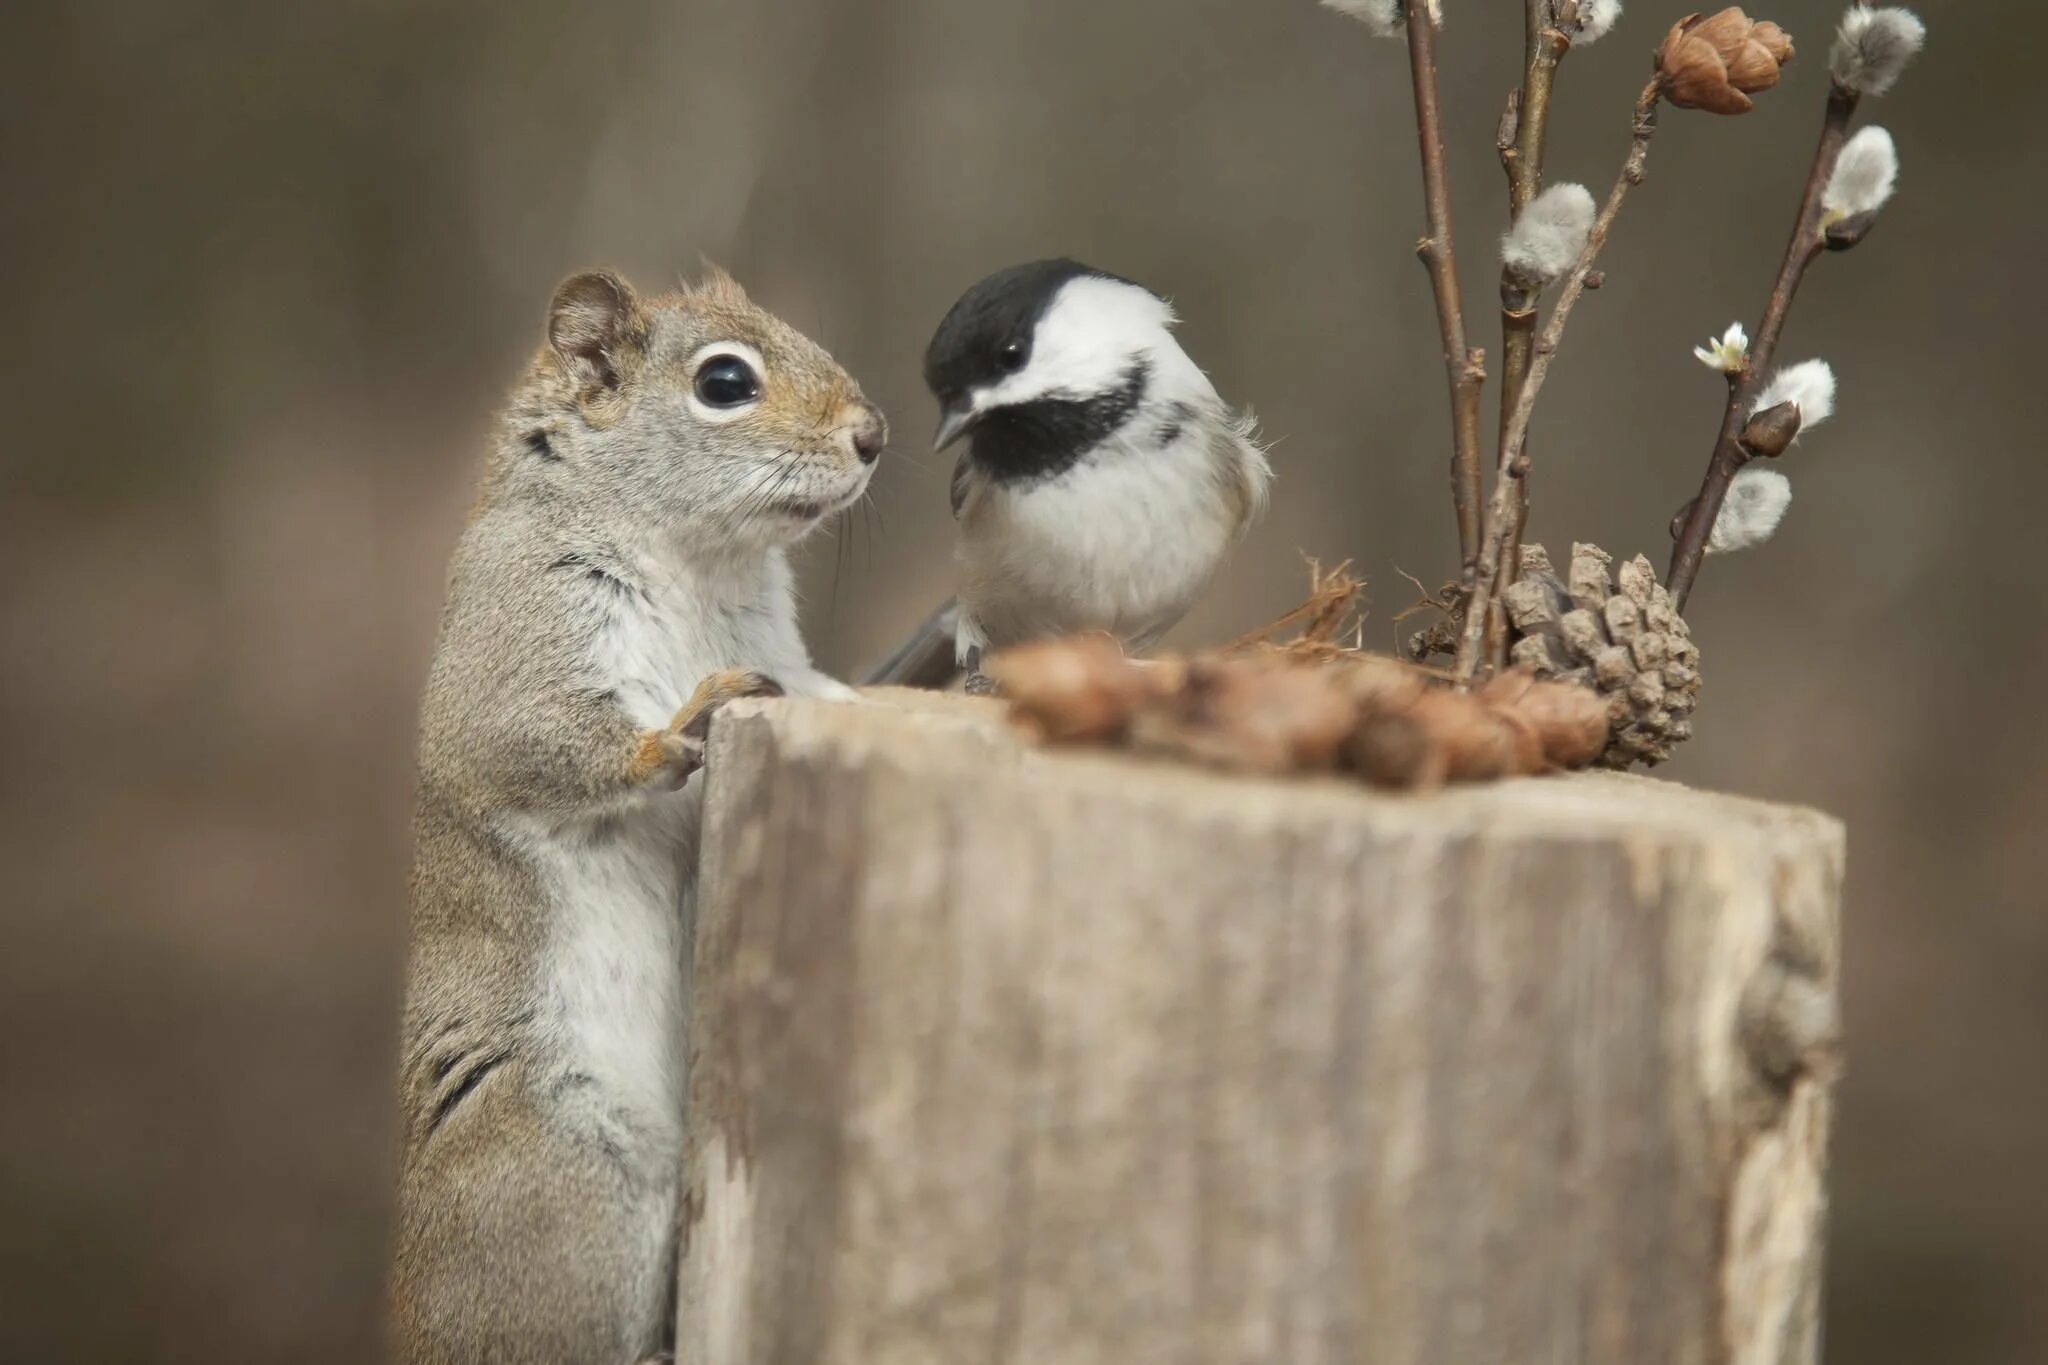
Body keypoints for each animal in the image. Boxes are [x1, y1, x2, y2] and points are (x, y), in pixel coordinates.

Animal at [387, 270, 884, 1365]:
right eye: (725, 382)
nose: (873, 434)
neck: (699, 563)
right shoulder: (516, 635)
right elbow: (523, 742)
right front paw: (677, 729)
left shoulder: (789, 664)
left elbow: (834, 691)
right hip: (565, 1176)